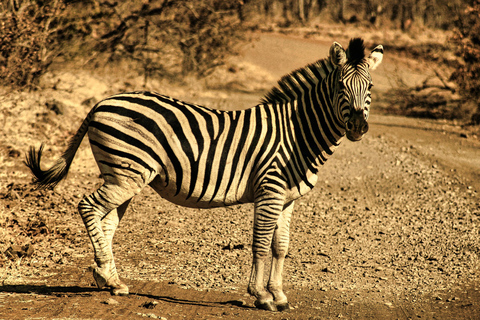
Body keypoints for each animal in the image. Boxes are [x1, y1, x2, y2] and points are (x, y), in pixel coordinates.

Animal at [25, 38, 382, 312]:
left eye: (370, 87)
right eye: (340, 86)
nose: (358, 127)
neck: (297, 134)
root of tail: (102, 102)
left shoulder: (288, 199)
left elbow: (281, 246)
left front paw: (279, 295)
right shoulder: (269, 191)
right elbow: (261, 243)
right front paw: (261, 296)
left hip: (124, 175)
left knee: (106, 220)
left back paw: (110, 279)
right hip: (126, 173)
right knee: (88, 207)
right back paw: (106, 273)